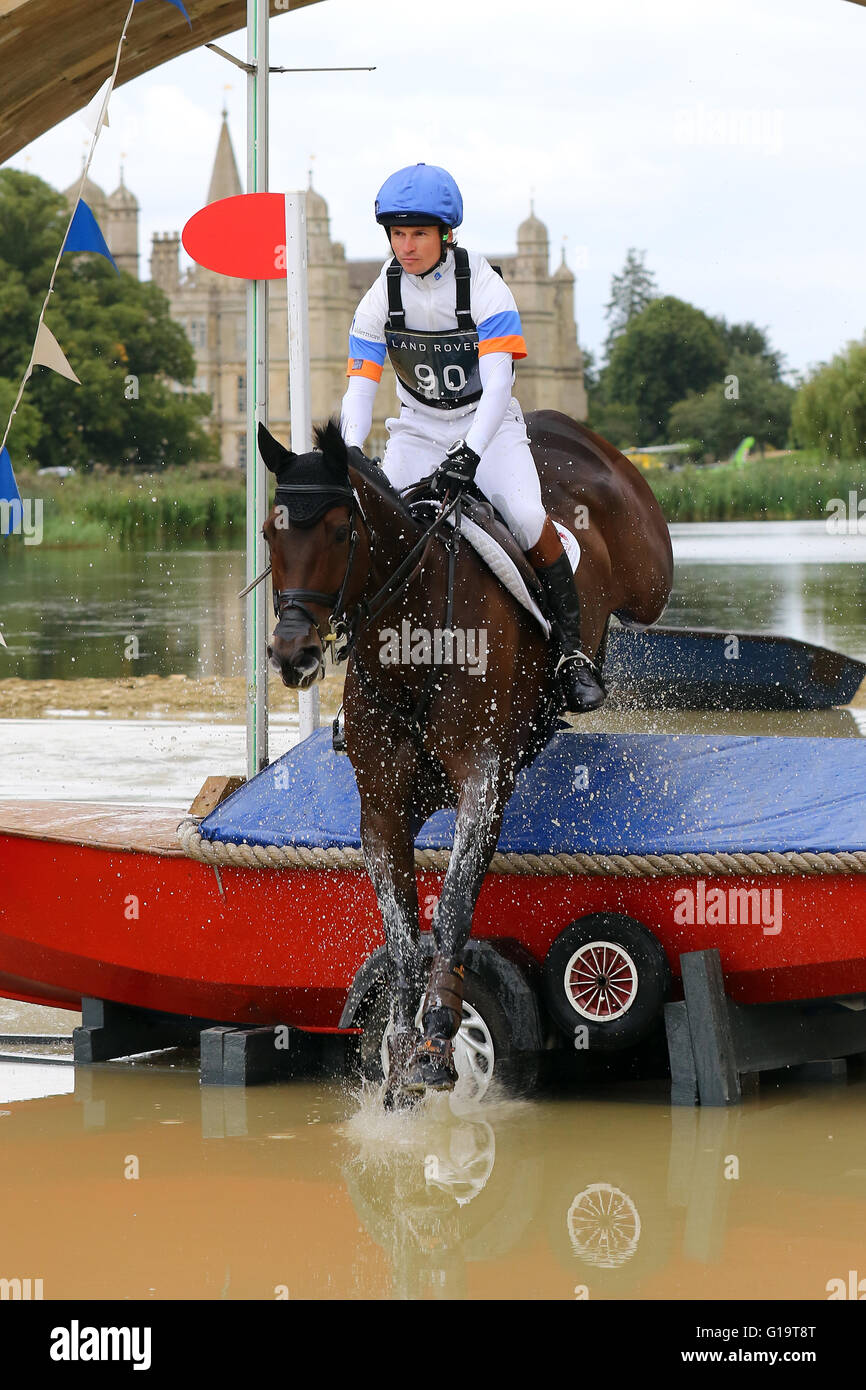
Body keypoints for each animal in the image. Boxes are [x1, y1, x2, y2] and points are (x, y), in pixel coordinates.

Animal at [257, 409, 673, 1102]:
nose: (294, 654)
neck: (411, 646)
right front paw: (400, 1052)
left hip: (648, 576)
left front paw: (438, 1038)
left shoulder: (483, 784)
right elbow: (402, 932)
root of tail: (558, 425)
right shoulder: (383, 808)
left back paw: (583, 671)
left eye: (342, 532)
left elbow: (451, 908)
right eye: (269, 532)